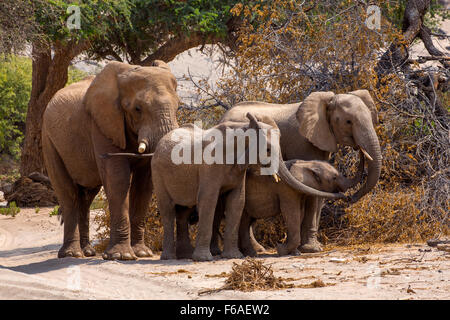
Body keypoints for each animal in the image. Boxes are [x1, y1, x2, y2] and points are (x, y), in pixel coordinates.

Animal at [42, 60, 179, 260]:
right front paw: (121, 256)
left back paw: (88, 252)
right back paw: (72, 255)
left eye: (178, 107)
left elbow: (144, 185)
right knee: (68, 194)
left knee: (86, 196)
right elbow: (117, 179)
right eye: (137, 109)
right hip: (49, 141)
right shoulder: (101, 124)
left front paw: (142, 253)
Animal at [152, 114, 344, 262]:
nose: (341, 192)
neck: (243, 129)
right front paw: (204, 259)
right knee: (168, 210)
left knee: (183, 212)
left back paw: (184, 255)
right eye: (268, 149)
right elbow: (208, 200)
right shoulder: (209, 165)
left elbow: (237, 200)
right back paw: (170, 258)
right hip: (158, 174)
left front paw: (233, 257)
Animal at [220, 90, 382, 252]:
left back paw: (257, 250)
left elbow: (319, 190)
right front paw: (311, 249)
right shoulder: (304, 142)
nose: (350, 198)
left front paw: (314, 246)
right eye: (348, 122)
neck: (328, 101)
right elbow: (313, 192)